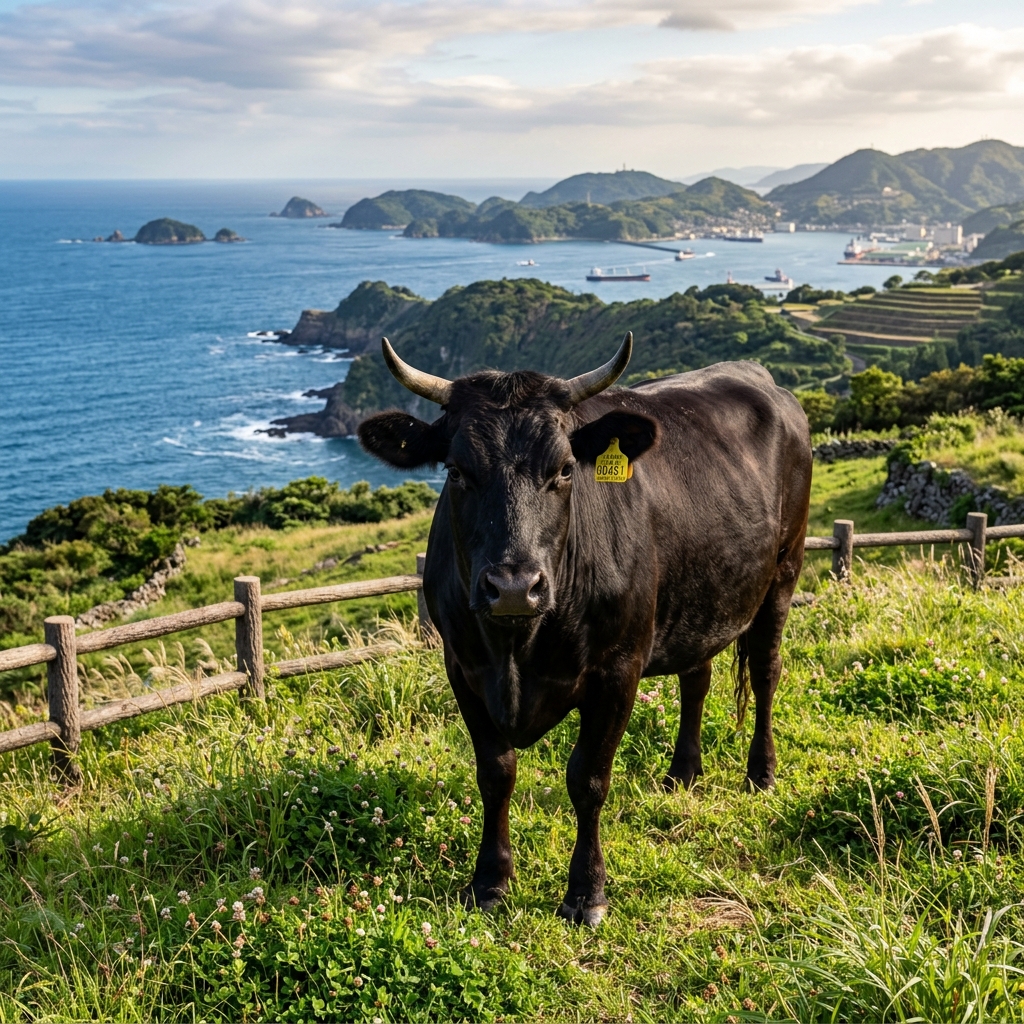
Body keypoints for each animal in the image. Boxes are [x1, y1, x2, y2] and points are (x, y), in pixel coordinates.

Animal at [358, 332, 812, 925]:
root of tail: (763, 379)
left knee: (764, 672)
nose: (513, 587)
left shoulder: (617, 671)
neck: (517, 649)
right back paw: (683, 773)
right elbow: (495, 774)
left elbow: (588, 778)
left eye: (566, 469)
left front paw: (586, 892)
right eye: (455, 471)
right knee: (697, 678)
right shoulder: (463, 669)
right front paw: (490, 881)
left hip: (783, 571)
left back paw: (760, 774)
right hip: (703, 592)